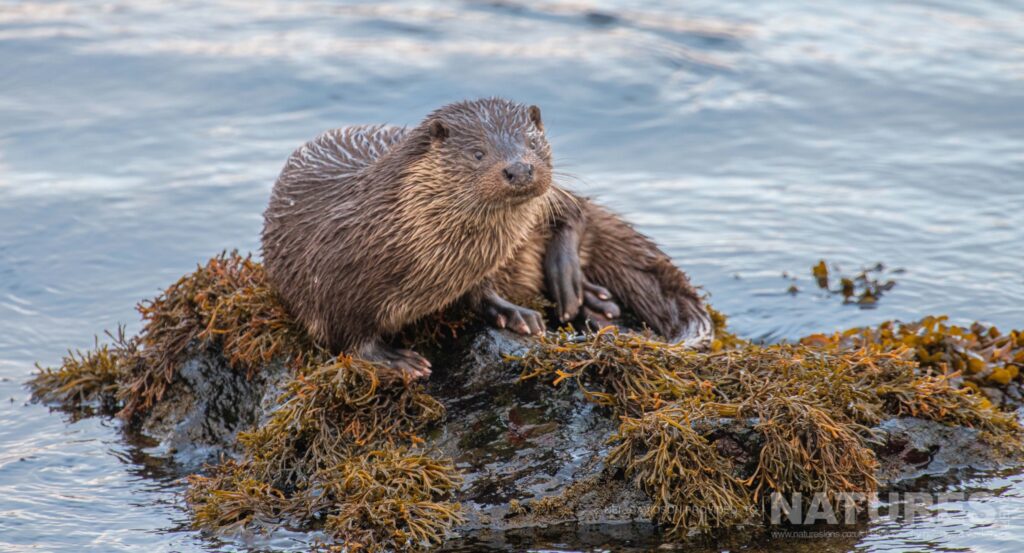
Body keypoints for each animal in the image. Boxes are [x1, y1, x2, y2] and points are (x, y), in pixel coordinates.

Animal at [262, 97, 712, 378]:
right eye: (477, 153)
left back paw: (580, 291)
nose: (520, 168)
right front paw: (392, 360)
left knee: (573, 209)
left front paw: (514, 314)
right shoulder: (329, 276)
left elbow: (482, 290)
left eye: (532, 143)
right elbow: (347, 337)